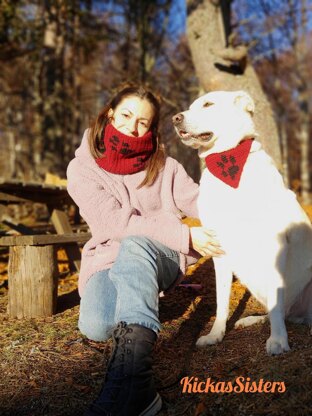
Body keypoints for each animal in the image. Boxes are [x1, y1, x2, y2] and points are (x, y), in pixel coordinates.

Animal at [173, 90, 312, 354]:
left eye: (208, 104)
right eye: (191, 106)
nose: (175, 119)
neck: (226, 161)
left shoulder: (275, 245)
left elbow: (276, 300)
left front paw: (278, 340)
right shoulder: (219, 249)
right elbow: (221, 301)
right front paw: (216, 334)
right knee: (281, 310)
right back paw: (253, 320)